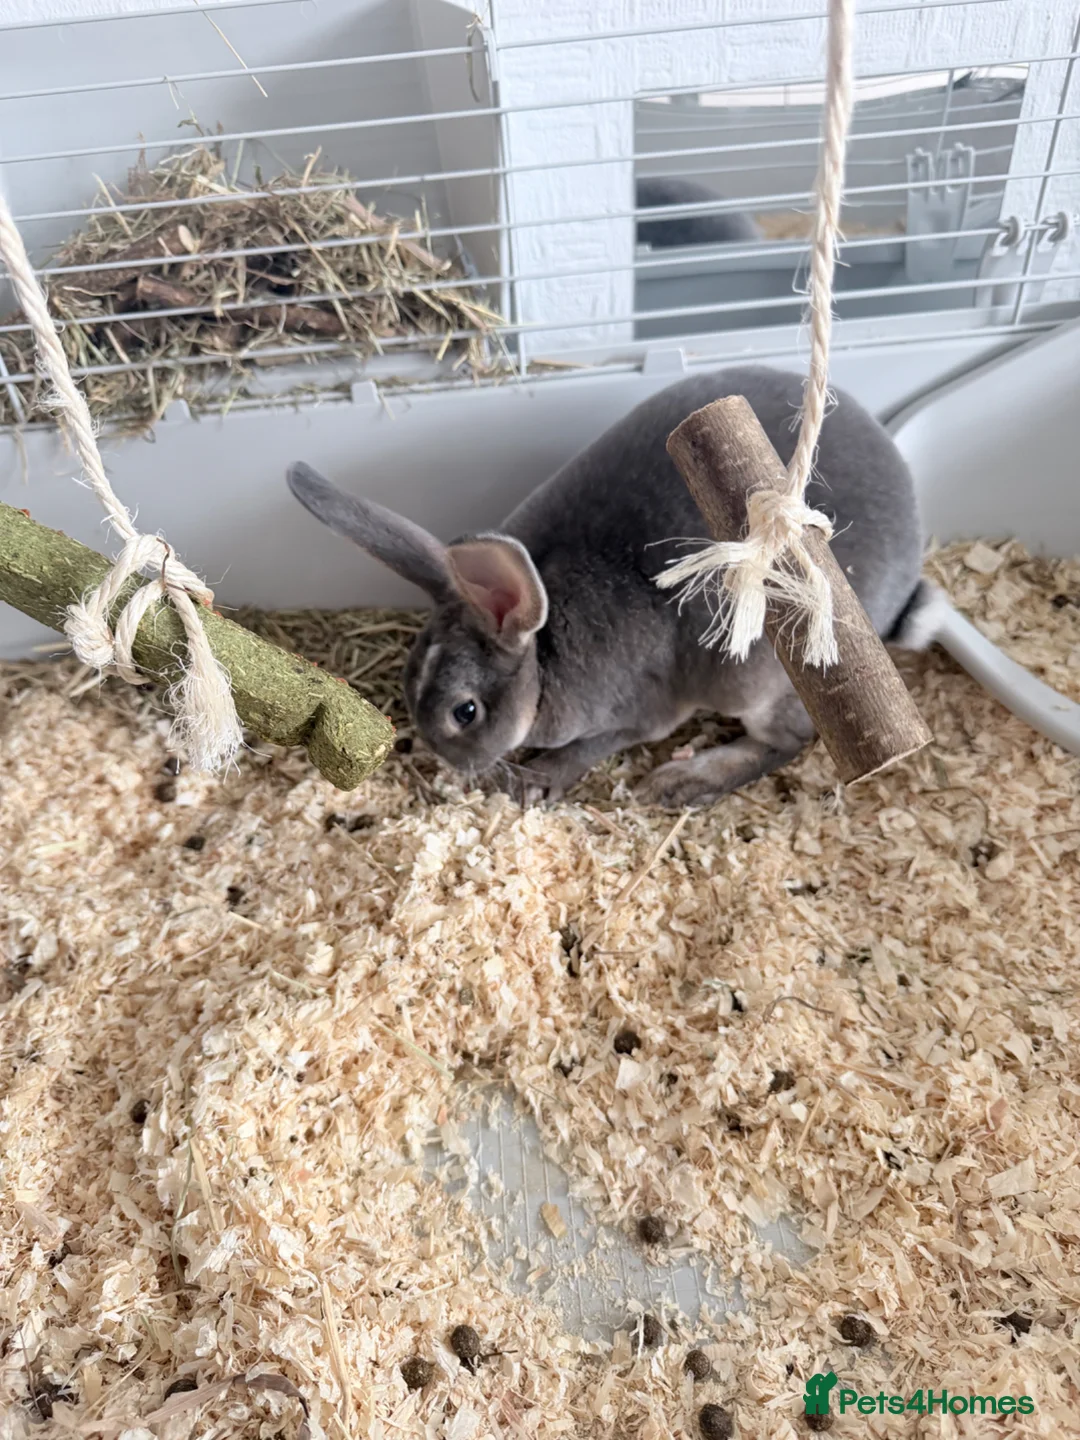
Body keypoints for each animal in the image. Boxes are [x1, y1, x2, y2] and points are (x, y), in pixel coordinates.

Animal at [286, 365, 942, 810]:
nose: (451, 765)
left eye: (464, 713)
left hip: (758, 683)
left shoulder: (636, 715)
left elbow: (587, 750)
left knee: (790, 741)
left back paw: (682, 781)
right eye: (404, 679)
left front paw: (536, 782)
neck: (543, 657)